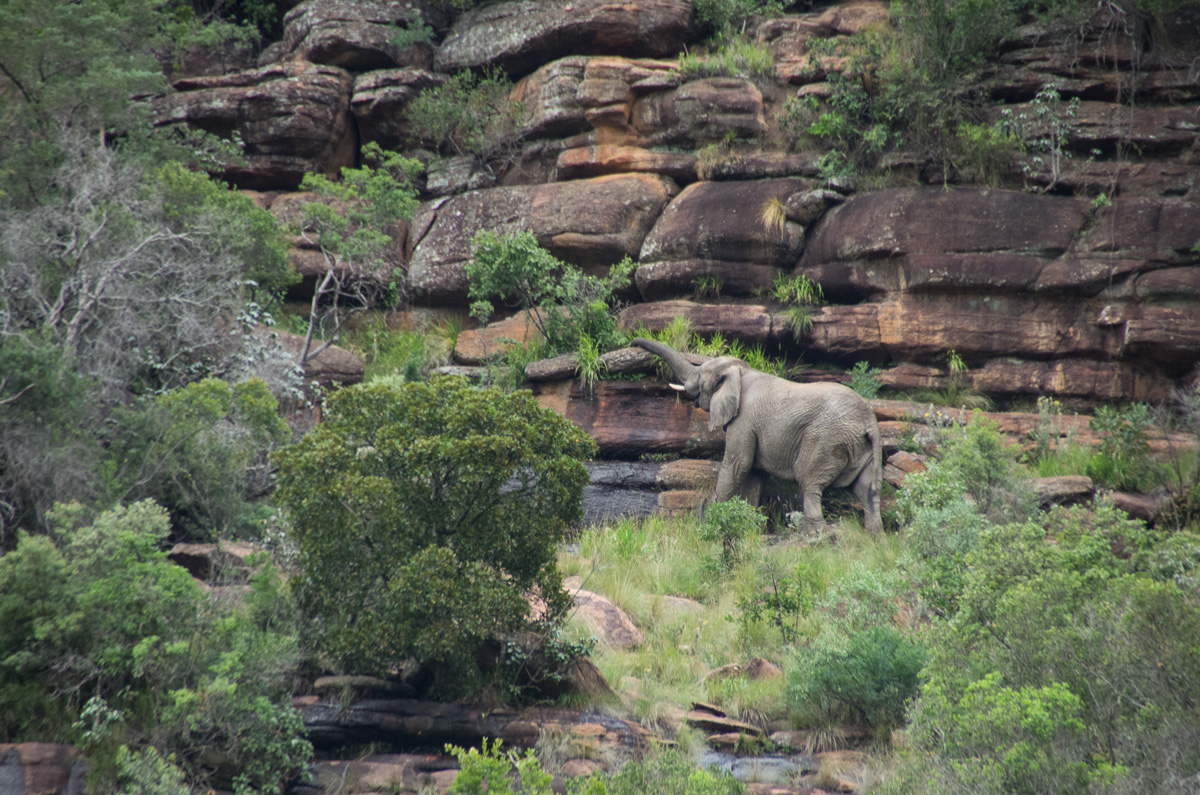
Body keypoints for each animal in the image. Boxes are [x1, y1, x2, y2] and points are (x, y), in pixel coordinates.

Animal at [638, 338, 883, 535]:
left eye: (699, 376)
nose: (632, 342)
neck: (741, 372)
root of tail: (869, 421)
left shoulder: (743, 421)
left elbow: (737, 466)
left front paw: (712, 521)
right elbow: (753, 474)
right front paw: (747, 527)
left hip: (826, 438)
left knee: (809, 481)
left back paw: (816, 537)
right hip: (862, 446)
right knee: (867, 490)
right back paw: (874, 538)